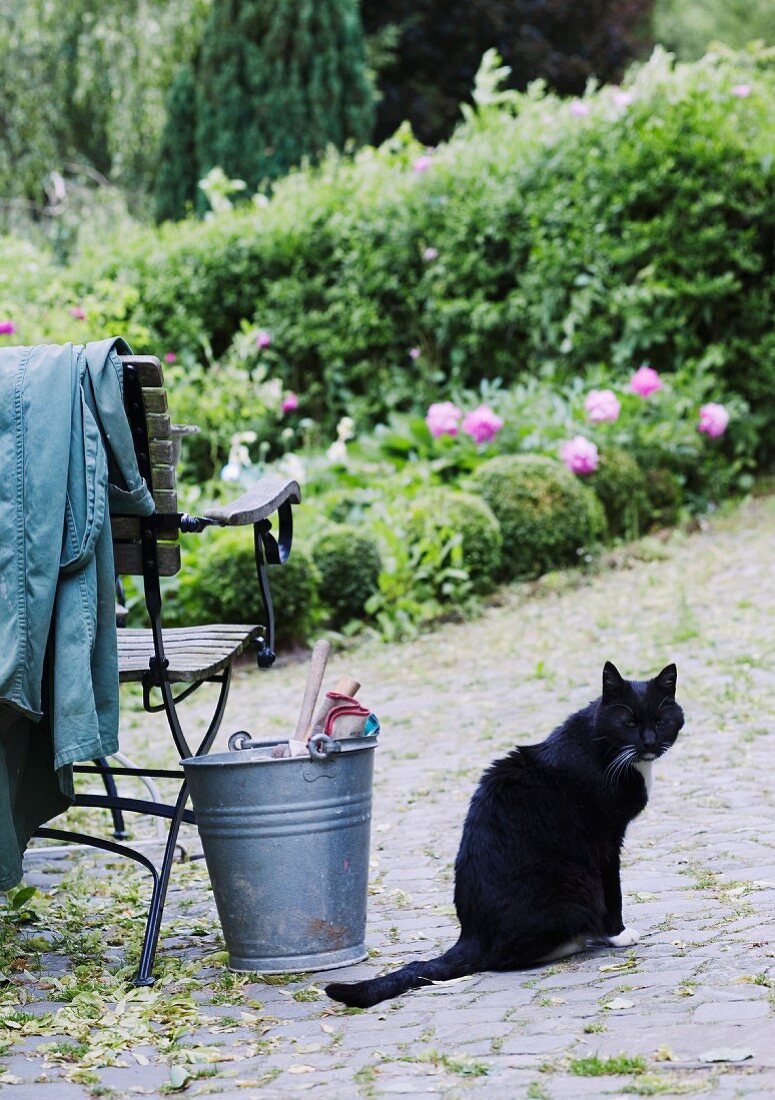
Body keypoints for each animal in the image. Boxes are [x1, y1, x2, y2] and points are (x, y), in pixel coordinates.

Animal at [325, 655, 681, 1007]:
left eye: (661, 720)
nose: (650, 741)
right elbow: (613, 891)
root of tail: (471, 936)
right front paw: (618, 934)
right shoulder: (605, 841)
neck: (606, 748)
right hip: (573, 883)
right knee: (502, 959)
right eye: (629, 723)